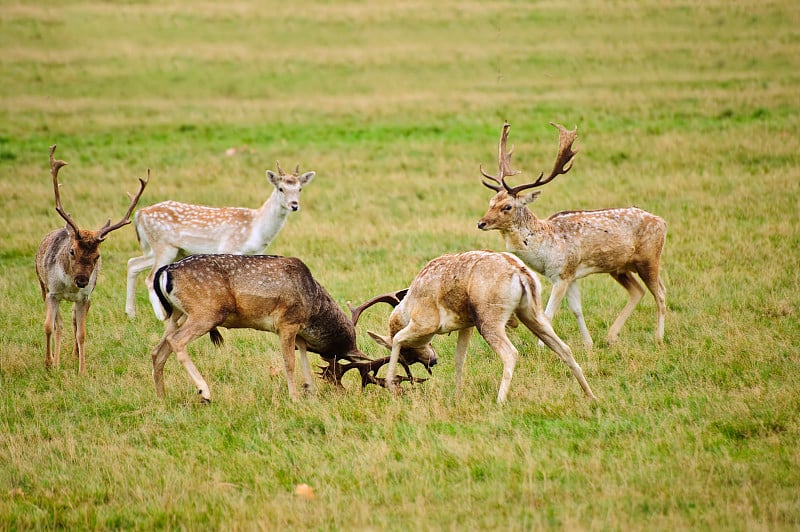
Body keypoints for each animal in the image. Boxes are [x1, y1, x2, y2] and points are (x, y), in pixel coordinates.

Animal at [34, 145, 150, 374]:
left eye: (97, 256)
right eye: (72, 251)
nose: (82, 280)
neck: (69, 286)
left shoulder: (85, 297)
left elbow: (82, 333)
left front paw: (82, 370)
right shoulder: (52, 292)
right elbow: (48, 326)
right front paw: (49, 363)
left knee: (71, 322)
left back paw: (72, 356)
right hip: (43, 285)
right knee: (58, 325)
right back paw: (56, 361)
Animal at [123, 161, 314, 320]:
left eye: (300, 189)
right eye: (281, 188)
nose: (294, 205)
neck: (256, 227)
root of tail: (139, 214)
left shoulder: (256, 253)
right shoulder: (229, 247)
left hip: (169, 250)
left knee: (133, 263)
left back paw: (131, 314)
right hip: (164, 247)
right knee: (149, 278)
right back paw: (161, 316)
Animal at [150, 256, 438, 402]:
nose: (433, 360)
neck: (314, 306)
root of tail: (164, 271)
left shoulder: (299, 333)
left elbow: (303, 359)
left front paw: (309, 391)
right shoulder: (287, 322)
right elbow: (289, 362)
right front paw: (295, 397)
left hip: (176, 313)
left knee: (157, 350)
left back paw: (162, 399)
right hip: (206, 311)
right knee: (176, 342)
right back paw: (204, 393)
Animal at [366, 249, 596, 404]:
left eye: (407, 354)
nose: (432, 361)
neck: (410, 302)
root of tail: (520, 271)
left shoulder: (426, 325)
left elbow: (397, 338)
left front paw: (391, 386)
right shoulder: (466, 327)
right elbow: (459, 359)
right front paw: (457, 396)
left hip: (490, 324)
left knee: (511, 353)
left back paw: (499, 402)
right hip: (532, 316)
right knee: (563, 348)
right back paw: (591, 396)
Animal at [476, 122, 668, 348]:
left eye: (507, 206)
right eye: (491, 202)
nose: (481, 223)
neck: (545, 248)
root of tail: (662, 222)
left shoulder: (561, 274)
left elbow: (548, 313)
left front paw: (542, 346)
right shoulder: (570, 274)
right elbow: (577, 309)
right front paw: (588, 343)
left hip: (649, 258)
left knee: (660, 293)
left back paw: (658, 337)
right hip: (620, 267)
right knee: (638, 291)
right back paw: (611, 336)